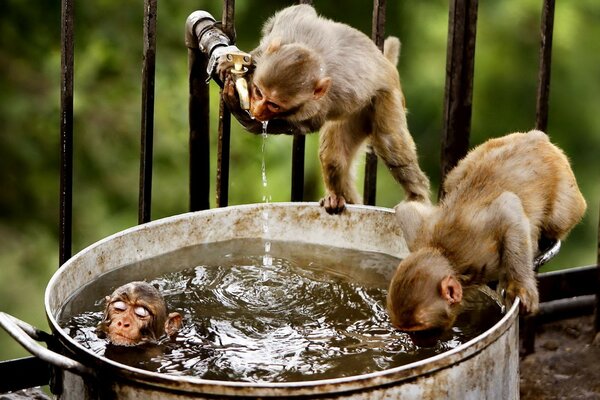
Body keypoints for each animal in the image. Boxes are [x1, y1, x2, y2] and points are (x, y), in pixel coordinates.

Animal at [218, 4, 428, 214]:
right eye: (259, 92)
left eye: (273, 105)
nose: (257, 110)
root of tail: (387, 64)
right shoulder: (288, 27)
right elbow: (299, 11)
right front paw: (243, 62)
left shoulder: (316, 106)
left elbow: (306, 124)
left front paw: (246, 117)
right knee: (333, 158)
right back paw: (339, 198)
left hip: (385, 97)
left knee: (389, 142)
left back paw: (417, 197)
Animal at [386, 130, 588, 332]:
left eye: (419, 330)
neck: (447, 255)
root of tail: (536, 137)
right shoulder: (419, 235)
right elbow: (405, 209)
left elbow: (508, 206)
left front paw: (521, 287)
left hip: (564, 189)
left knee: (557, 219)